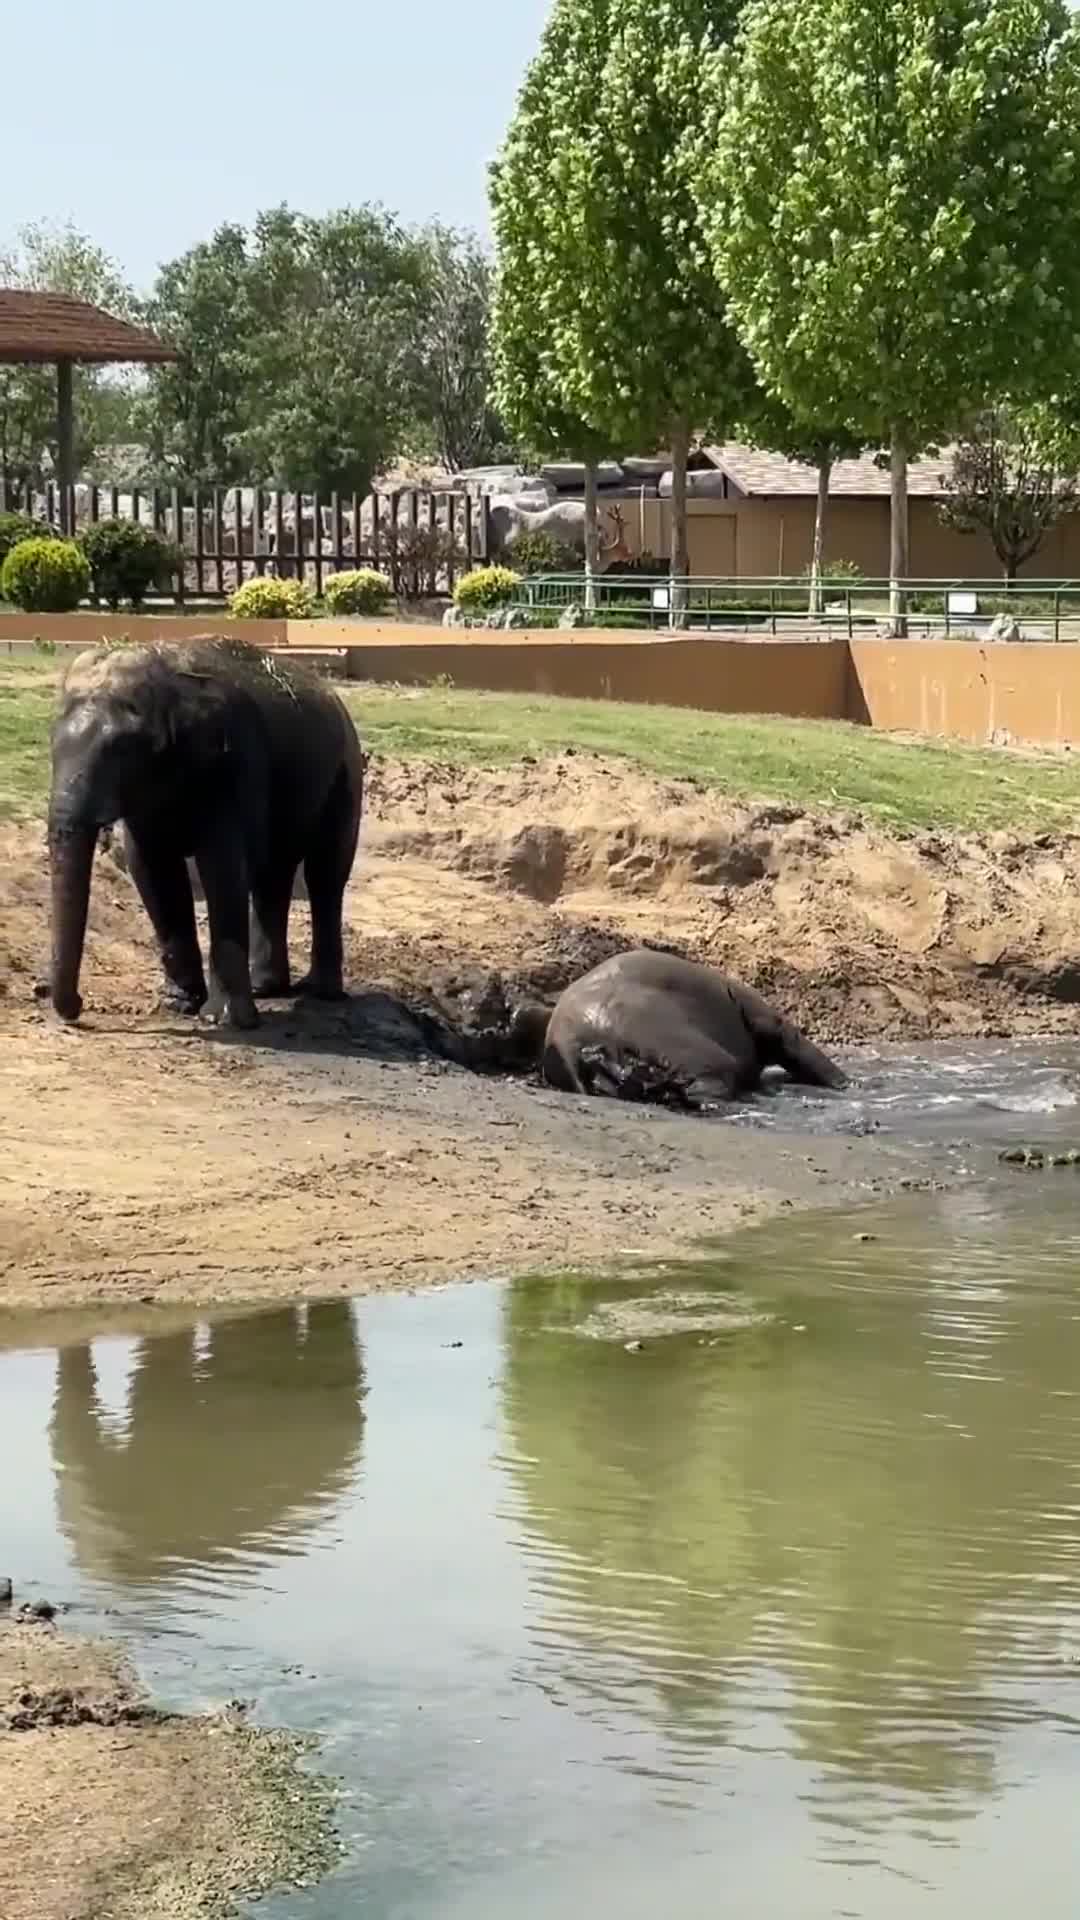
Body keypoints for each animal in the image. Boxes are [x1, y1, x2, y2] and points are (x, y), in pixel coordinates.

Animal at [48, 629, 361, 1029]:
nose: (77, 1008)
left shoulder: (232, 763)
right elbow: (152, 868)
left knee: (325, 874)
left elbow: (222, 865)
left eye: (122, 750)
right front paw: (178, 1005)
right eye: (51, 746)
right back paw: (266, 987)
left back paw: (320, 993)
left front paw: (224, 1020)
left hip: (346, 774)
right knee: (273, 875)